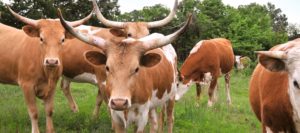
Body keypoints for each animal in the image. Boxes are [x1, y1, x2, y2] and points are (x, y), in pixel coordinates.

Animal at [57, 8, 191, 132]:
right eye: (107, 67)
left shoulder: (141, 117)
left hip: (171, 96)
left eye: (137, 69)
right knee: (155, 123)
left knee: (169, 118)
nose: (119, 102)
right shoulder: (116, 114)